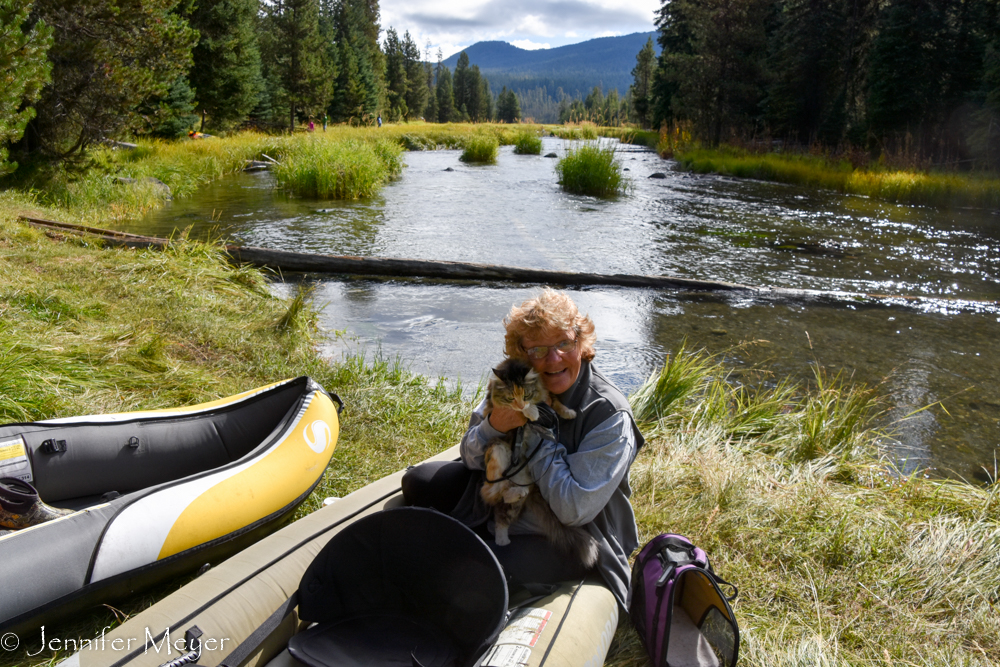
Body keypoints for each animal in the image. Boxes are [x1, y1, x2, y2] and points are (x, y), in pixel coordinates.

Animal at [480, 360, 596, 568]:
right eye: (511, 397)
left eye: (526, 394)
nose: (521, 403)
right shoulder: (493, 407)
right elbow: (520, 411)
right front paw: (531, 412)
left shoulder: (546, 394)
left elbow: (555, 401)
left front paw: (568, 412)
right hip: (498, 451)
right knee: (490, 490)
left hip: (522, 488)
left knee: (504, 508)